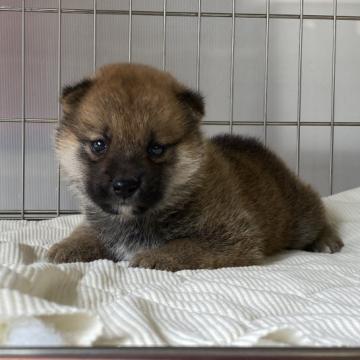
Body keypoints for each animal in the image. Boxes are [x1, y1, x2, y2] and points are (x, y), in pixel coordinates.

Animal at [47, 63, 344, 270]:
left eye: (156, 148)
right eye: (99, 144)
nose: (124, 185)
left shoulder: (231, 236)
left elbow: (185, 245)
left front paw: (156, 257)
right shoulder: (99, 223)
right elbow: (87, 233)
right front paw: (67, 246)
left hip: (300, 216)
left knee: (318, 216)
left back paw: (327, 240)